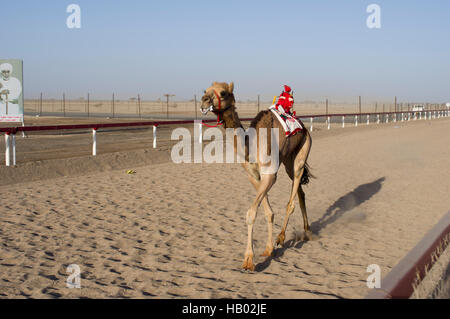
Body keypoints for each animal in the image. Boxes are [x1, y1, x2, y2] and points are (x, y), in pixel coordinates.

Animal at [200, 81, 312, 272]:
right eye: (205, 90)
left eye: (223, 93)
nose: (204, 101)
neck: (251, 146)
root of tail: (303, 126)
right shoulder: (254, 176)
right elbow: (268, 212)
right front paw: (267, 250)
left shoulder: (269, 175)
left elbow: (251, 213)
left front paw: (248, 260)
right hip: (288, 160)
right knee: (300, 192)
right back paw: (307, 231)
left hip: (303, 150)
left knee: (291, 200)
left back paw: (282, 237)